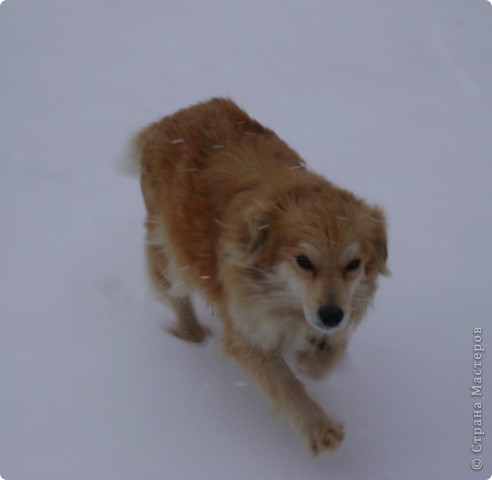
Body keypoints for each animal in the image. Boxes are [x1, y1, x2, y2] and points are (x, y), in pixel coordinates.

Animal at [135, 97, 388, 454]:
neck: (285, 298)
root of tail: (166, 121)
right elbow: (284, 383)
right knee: (176, 293)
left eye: (353, 264)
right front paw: (317, 426)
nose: (330, 316)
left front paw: (315, 358)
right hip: (167, 247)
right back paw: (192, 333)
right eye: (303, 261)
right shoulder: (248, 332)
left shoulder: (344, 305)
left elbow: (332, 348)